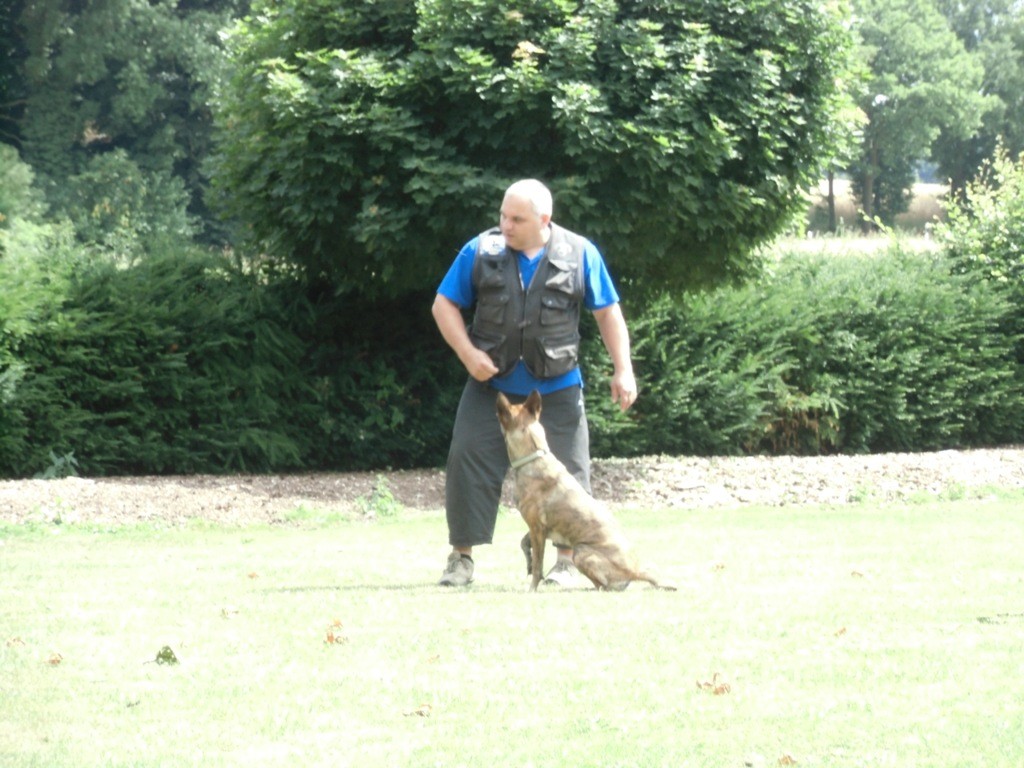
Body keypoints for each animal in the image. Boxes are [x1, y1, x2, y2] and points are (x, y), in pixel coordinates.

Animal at [493, 393, 675, 593]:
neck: (534, 456)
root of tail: (636, 572)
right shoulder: (538, 528)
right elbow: (524, 544)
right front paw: (528, 561)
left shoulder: (537, 528)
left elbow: (538, 566)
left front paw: (532, 587)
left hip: (580, 552)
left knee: (603, 586)